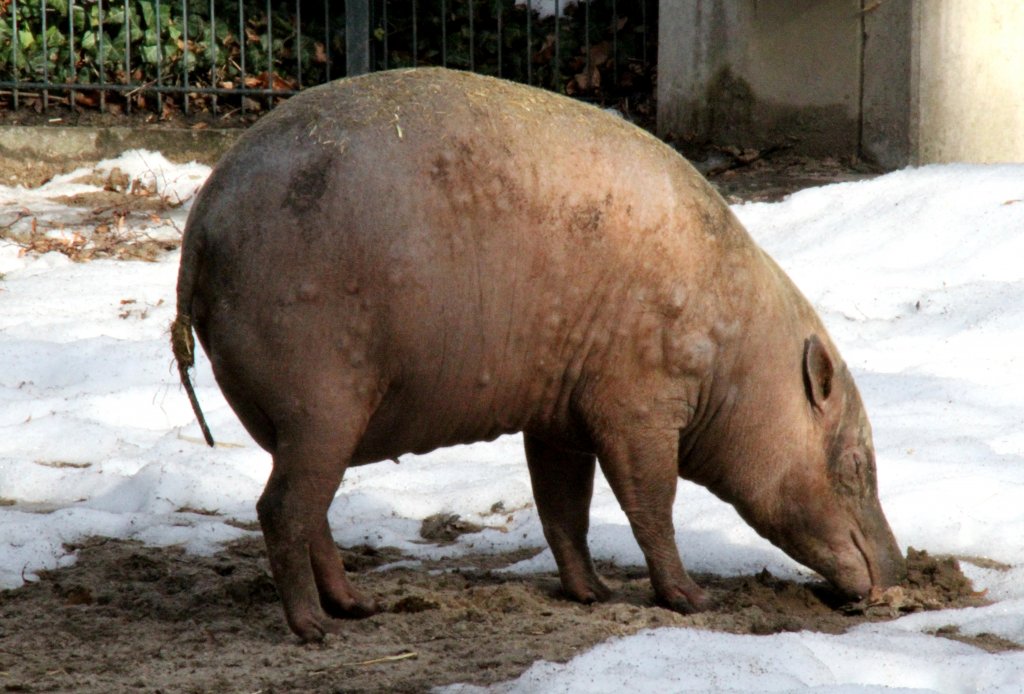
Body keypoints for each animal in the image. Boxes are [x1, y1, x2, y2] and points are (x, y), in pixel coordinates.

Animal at [174, 69, 905, 642]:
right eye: (857, 463)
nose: (901, 569)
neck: (738, 360)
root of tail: (199, 225)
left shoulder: (559, 420)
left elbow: (563, 509)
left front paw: (594, 597)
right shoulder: (637, 409)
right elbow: (650, 505)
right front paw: (693, 602)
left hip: (308, 425)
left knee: (311, 514)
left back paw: (359, 609)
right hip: (320, 406)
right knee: (281, 510)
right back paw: (314, 631)